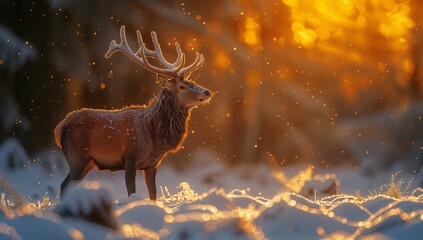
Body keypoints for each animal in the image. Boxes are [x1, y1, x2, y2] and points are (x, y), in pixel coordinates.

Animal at [55, 25, 214, 200]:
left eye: (192, 81)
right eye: (182, 86)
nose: (207, 92)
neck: (155, 138)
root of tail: (59, 128)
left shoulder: (152, 165)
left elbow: (153, 195)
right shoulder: (129, 158)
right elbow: (131, 192)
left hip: (88, 162)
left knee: (65, 185)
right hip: (77, 157)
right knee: (64, 185)